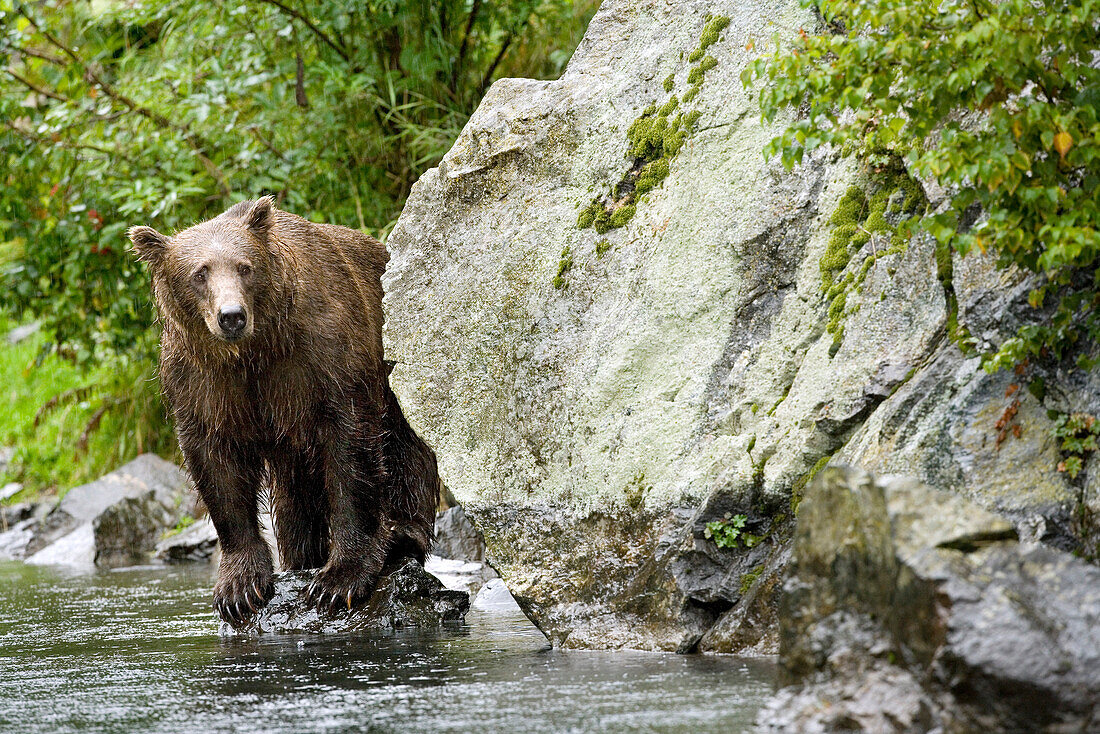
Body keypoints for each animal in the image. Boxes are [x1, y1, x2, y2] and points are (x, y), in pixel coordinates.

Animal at [126, 196, 435, 625]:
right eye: (199, 273)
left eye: (244, 267)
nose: (231, 316)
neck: (255, 352)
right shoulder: (202, 383)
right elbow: (217, 467)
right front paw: (238, 588)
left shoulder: (323, 359)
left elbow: (350, 449)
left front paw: (339, 580)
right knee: (294, 499)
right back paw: (300, 557)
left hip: (398, 354)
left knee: (405, 445)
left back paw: (404, 536)